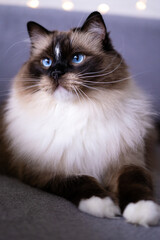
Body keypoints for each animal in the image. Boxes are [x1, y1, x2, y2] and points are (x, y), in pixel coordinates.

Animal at [0, 11, 160, 227]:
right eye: (46, 62)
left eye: (77, 58)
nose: (56, 73)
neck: (78, 111)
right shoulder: (47, 169)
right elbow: (81, 182)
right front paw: (104, 205)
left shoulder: (128, 162)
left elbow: (135, 182)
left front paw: (142, 212)